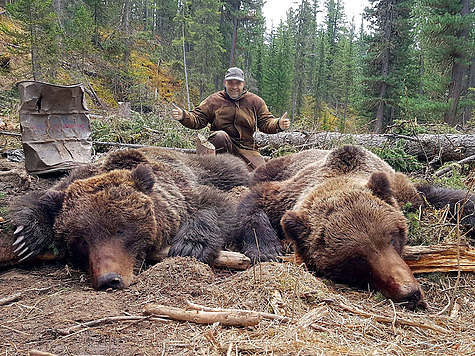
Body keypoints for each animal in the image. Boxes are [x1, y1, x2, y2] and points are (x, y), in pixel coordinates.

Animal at [7, 147, 251, 290]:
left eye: (121, 230)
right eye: (81, 240)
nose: (108, 280)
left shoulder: (183, 192)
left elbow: (216, 204)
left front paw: (190, 246)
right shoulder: (67, 184)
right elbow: (38, 199)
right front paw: (26, 236)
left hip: (202, 167)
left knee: (231, 168)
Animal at [233, 145, 475, 308]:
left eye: (391, 238)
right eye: (357, 258)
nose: (410, 293)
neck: (341, 175)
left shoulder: (402, 190)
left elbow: (442, 198)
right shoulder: (286, 193)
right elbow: (255, 201)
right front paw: (265, 249)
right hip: (276, 167)